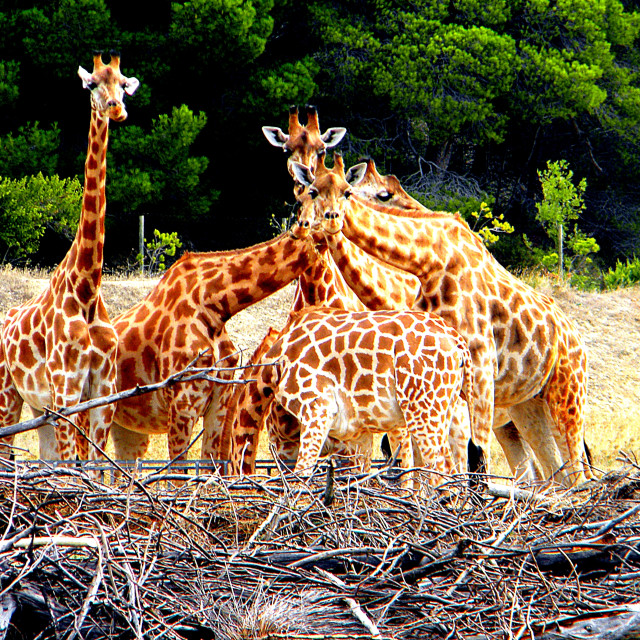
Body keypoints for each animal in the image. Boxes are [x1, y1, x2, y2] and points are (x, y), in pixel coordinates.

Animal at [0, 51, 139, 460]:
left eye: (123, 84)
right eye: (92, 84)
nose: (117, 109)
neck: (87, 288)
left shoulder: (103, 395)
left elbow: (93, 467)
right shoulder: (67, 391)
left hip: (39, 407)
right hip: (9, 394)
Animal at [230, 308, 476, 488]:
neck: (276, 366)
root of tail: (458, 342)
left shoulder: (317, 409)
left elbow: (302, 474)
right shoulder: (358, 434)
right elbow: (362, 478)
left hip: (423, 410)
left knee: (443, 469)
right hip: (447, 410)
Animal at [292, 154, 592, 484]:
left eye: (348, 191)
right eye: (311, 192)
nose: (325, 221)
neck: (429, 262)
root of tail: (577, 340)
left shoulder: (479, 371)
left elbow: (472, 460)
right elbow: (421, 463)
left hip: (567, 396)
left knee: (576, 472)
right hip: (527, 406)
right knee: (553, 475)